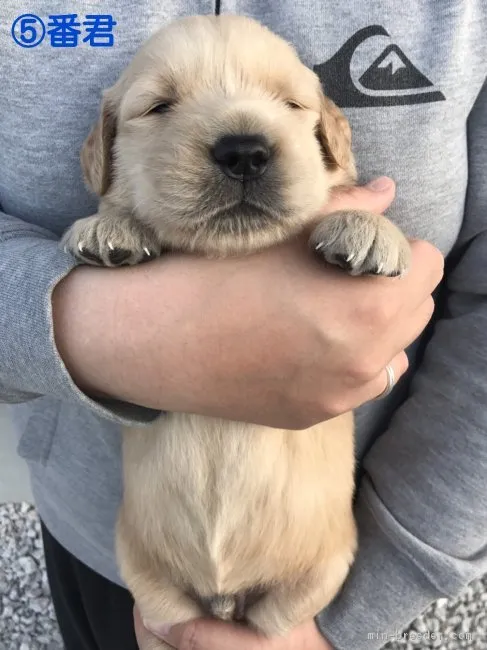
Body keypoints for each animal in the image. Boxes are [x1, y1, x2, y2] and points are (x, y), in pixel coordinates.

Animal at [62, 12, 412, 644]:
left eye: (291, 104)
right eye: (159, 107)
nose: (245, 151)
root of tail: (225, 598)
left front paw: (368, 228)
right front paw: (110, 226)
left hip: (319, 573)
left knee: (274, 621)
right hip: (146, 576)